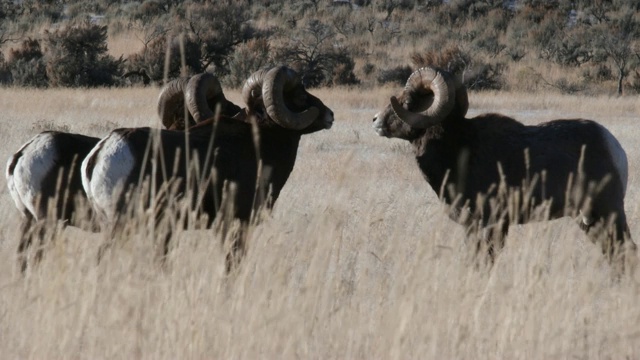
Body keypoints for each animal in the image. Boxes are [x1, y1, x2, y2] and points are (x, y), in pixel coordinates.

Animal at [81, 66, 336, 272]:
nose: (330, 115)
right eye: (300, 95)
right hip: (121, 225)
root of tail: (101, 152)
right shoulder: (236, 223)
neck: (260, 143)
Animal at [372, 67, 632, 264]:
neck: (458, 151)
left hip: (609, 213)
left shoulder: (491, 224)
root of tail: (614, 147)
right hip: (589, 221)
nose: (375, 121)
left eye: (407, 101)